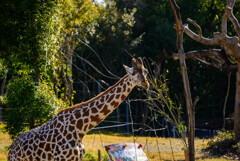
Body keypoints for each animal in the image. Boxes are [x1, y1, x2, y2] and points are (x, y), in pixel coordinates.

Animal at [7, 57, 148, 160]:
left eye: (145, 71)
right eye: (134, 73)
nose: (146, 84)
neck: (80, 129)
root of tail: (11, 148)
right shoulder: (61, 159)